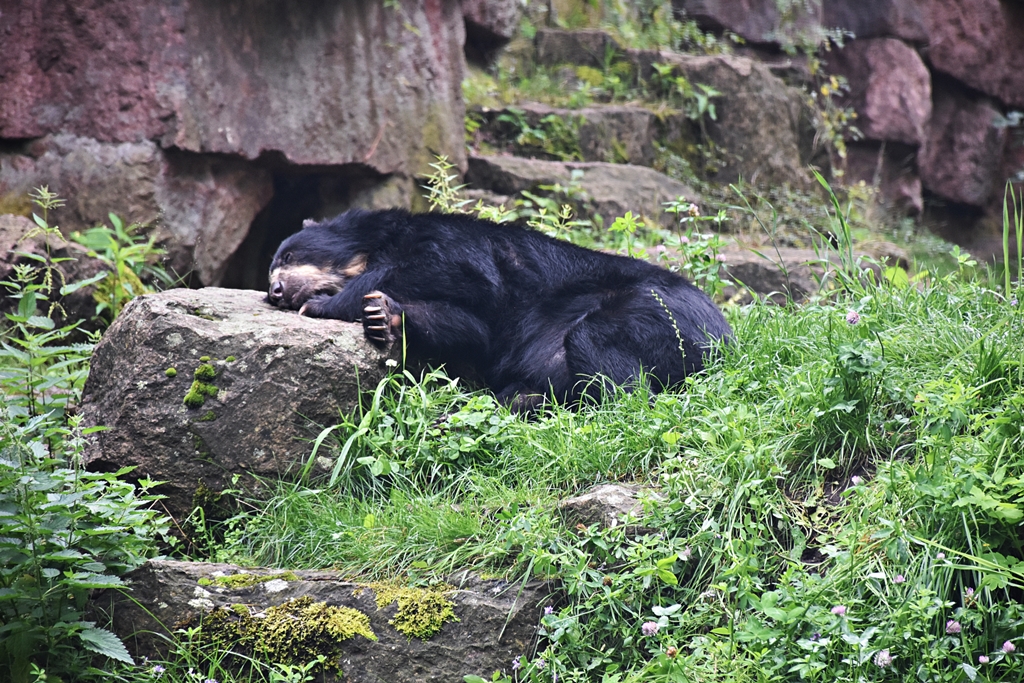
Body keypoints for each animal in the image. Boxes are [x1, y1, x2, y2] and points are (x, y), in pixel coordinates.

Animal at [267, 208, 732, 410]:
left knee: (598, 349)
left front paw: (323, 304)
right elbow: (470, 331)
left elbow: (458, 274)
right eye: (271, 268)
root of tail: (726, 337)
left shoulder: (456, 245)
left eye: (288, 256)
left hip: (655, 311)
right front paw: (386, 316)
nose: (275, 291)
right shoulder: (483, 324)